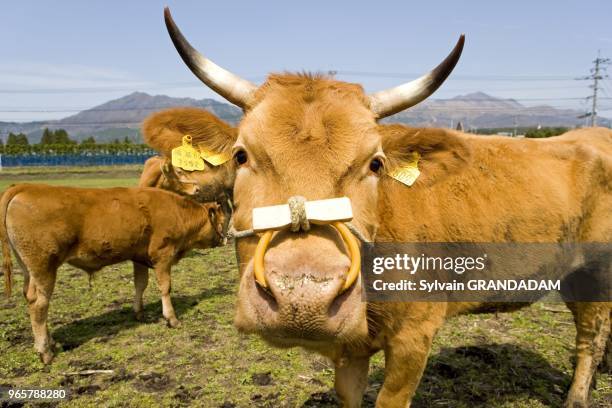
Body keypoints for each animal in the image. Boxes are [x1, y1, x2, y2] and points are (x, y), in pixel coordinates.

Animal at [1, 184, 226, 364]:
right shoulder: (162, 255)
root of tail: (27, 187)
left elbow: (140, 284)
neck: (178, 212)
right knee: (39, 304)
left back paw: (51, 342)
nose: (226, 237)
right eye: (223, 220)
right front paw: (171, 319)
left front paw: (139, 313)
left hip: (28, 270)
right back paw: (45, 351)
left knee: (30, 297)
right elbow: (165, 287)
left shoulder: (139, 257)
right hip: (44, 267)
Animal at [145, 7, 612, 406]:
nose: (303, 297)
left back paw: (577, 395)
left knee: (590, 334)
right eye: (241, 155)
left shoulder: (414, 337)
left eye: (375, 163)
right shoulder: (349, 347)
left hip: (596, 274)